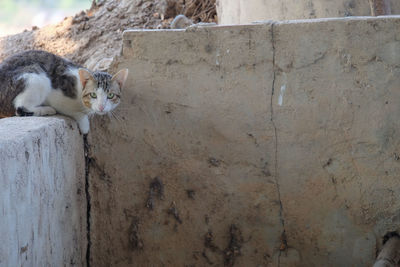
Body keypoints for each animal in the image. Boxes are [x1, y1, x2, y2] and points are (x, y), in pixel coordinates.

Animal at [0, 50, 128, 134]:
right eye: (93, 95)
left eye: (110, 95)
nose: (101, 107)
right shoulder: (56, 96)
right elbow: (75, 112)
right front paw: (84, 125)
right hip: (35, 77)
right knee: (20, 109)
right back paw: (46, 110)